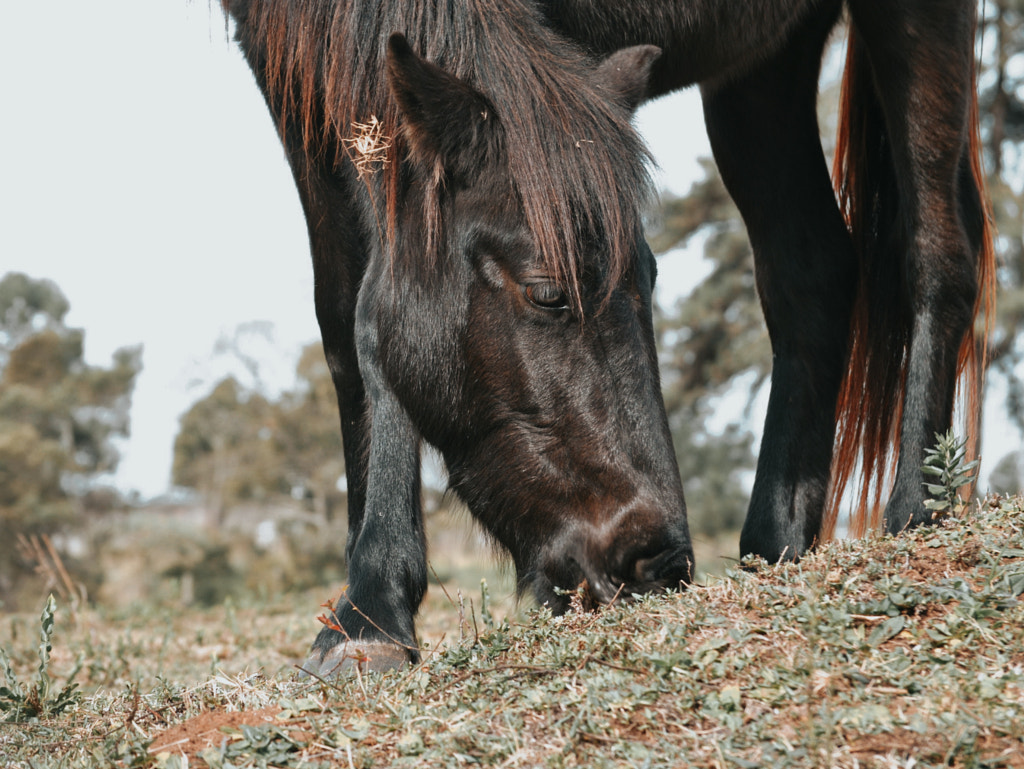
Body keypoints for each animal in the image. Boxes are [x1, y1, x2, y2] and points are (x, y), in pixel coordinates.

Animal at [220, 0, 995, 671]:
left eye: (648, 276)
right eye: (547, 292)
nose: (658, 561)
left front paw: (373, 614)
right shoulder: (292, 79)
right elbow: (352, 314)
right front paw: (365, 612)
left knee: (936, 250)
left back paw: (916, 513)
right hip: (762, 66)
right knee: (813, 274)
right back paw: (772, 549)